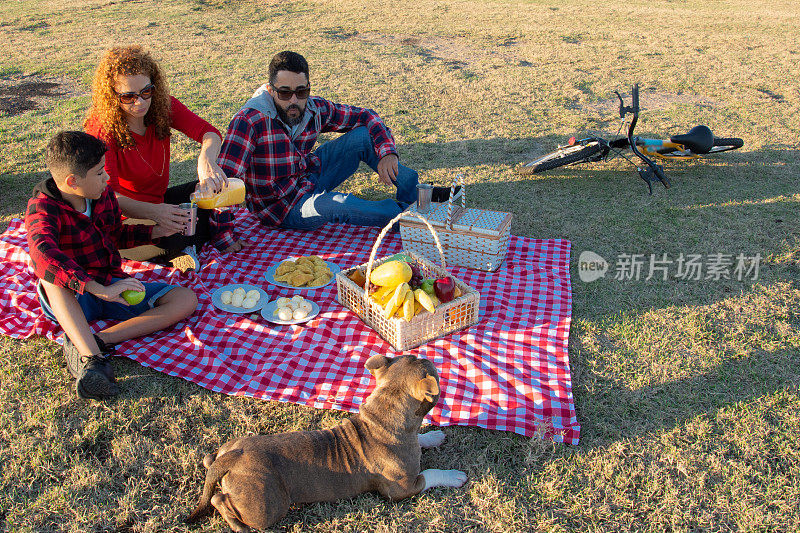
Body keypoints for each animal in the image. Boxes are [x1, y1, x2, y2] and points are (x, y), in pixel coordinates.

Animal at [184, 352, 466, 528]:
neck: (384, 414)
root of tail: (233, 458)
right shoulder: (402, 488)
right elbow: (429, 474)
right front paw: (453, 475)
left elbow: (422, 440)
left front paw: (432, 435)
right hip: (266, 506)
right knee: (219, 501)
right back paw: (238, 526)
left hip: (231, 448)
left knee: (209, 462)